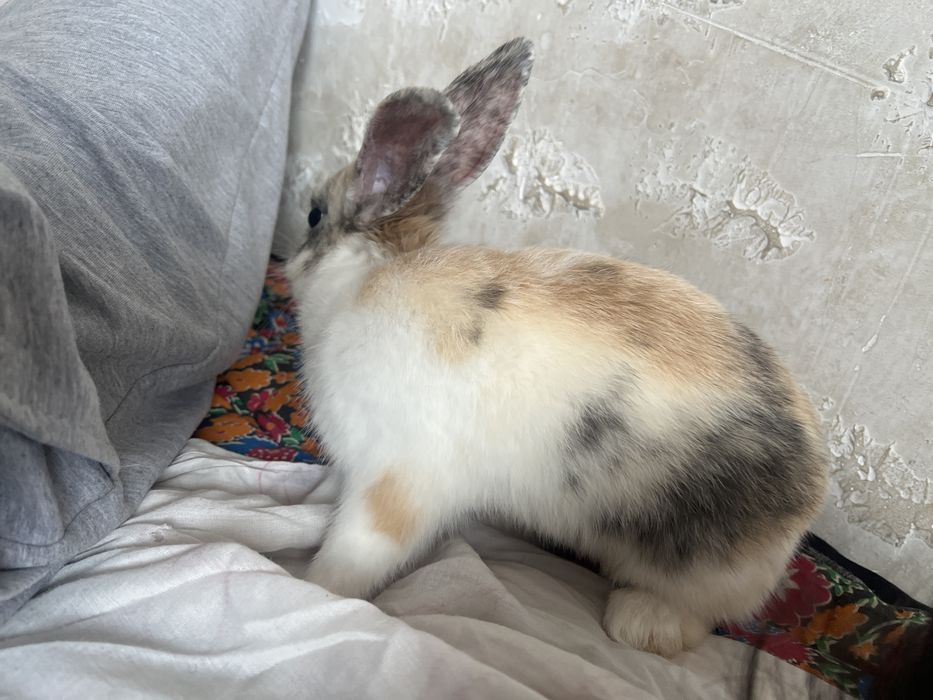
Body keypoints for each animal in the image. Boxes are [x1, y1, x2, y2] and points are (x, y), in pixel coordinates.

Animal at [285, 37, 829, 656]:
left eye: (313, 214)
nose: (288, 261)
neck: (360, 283)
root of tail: (810, 495)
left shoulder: (396, 481)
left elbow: (355, 553)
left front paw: (314, 589)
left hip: (691, 568)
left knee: (698, 618)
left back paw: (639, 621)